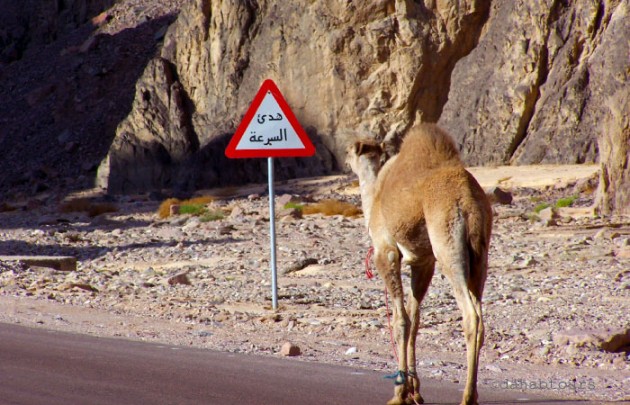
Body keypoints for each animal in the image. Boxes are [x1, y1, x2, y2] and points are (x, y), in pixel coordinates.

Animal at [350, 123, 494, 404]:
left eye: (350, 149)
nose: (345, 158)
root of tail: (469, 203)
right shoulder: (423, 262)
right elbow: (415, 319)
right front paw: (415, 391)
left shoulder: (386, 252)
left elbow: (401, 320)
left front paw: (399, 393)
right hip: (481, 256)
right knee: (481, 317)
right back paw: (473, 394)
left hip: (448, 247)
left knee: (470, 316)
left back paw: (466, 397)